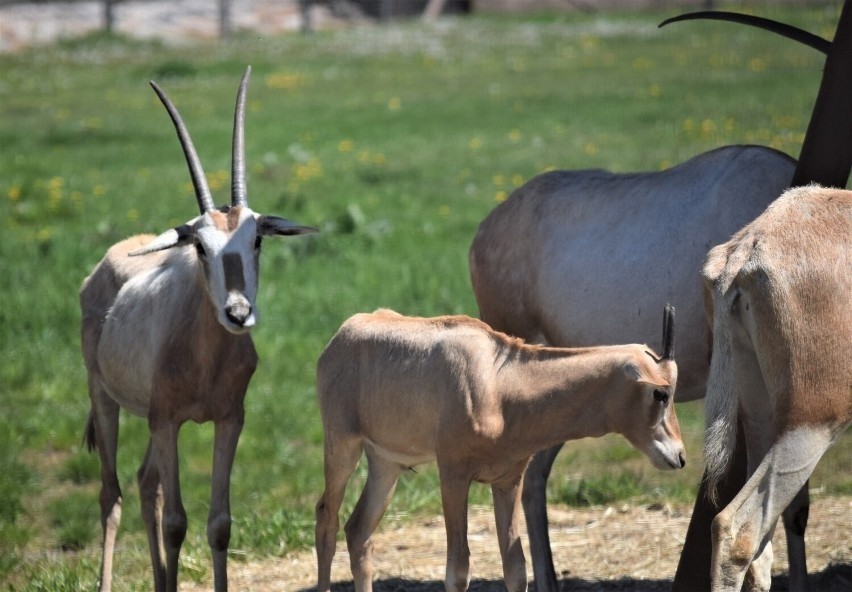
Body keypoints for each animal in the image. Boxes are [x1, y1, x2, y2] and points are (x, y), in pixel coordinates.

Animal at [316, 308, 684, 588]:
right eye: (660, 393)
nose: (679, 456)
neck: (498, 381)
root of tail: (342, 334)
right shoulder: (453, 475)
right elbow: (458, 570)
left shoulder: (508, 480)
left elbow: (516, 568)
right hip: (342, 445)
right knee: (326, 521)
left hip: (386, 463)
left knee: (359, 532)